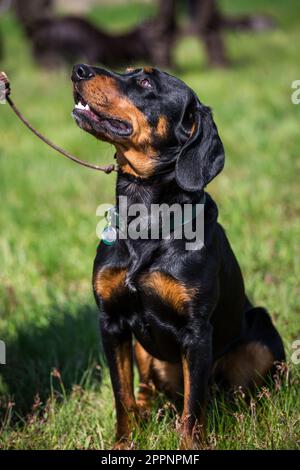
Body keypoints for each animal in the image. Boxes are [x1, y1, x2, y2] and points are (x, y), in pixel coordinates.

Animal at [71, 64, 284, 450]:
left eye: (145, 82)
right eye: (127, 71)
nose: (79, 70)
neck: (145, 217)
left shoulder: (196, 331)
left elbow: (193, 410)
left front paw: (190, 447)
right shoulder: (110, 321)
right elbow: (121, 396)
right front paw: (124, 443)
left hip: (261, 330)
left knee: (236, 391)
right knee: (145, 389)